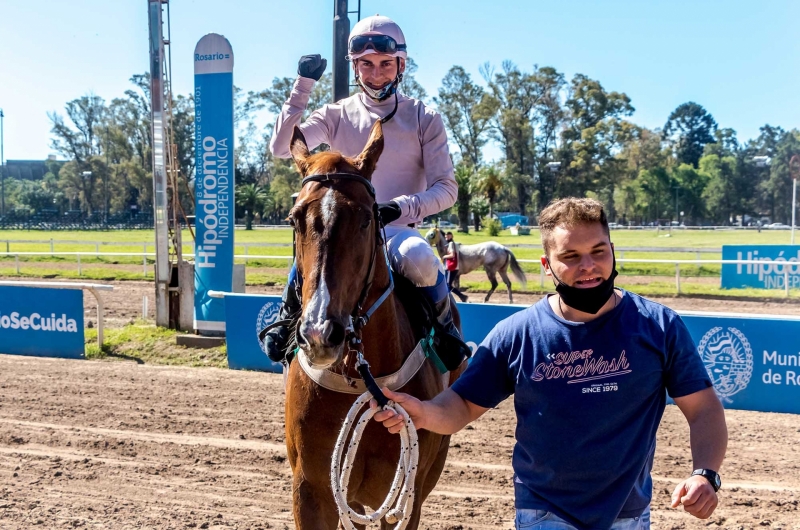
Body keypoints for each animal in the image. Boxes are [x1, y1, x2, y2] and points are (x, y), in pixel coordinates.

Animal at [284, 120, 460, 528]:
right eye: (295, 219)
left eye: (366, 218)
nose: (320, 333)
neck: (358, 375)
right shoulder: (310, 490)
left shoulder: (405, 497)